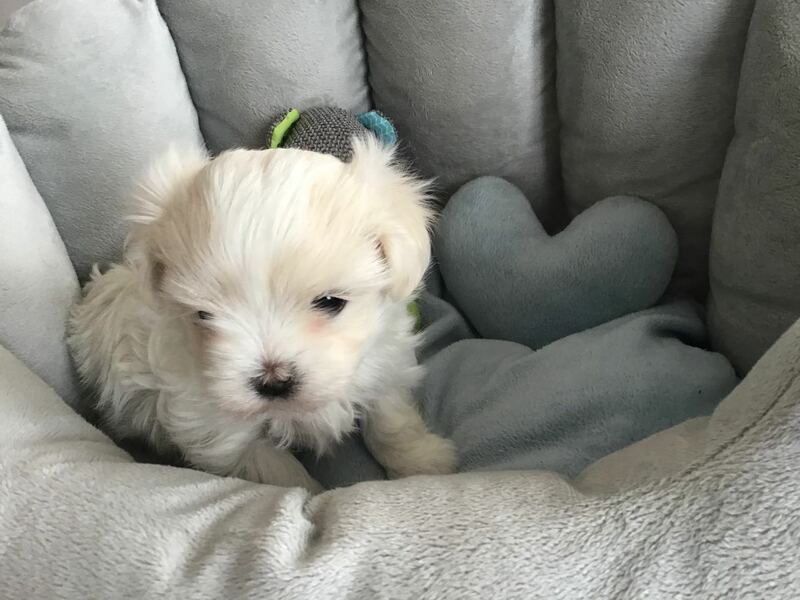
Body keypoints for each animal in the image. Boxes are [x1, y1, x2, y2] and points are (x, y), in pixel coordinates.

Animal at [68, 137, 457, 492]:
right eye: (203, 314)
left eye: (331, 302)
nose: (274, 380)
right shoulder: (215, 427)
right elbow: (274, 471)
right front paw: (310, 494)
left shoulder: (385, 360)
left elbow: (391, 418)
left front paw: (423, 462)